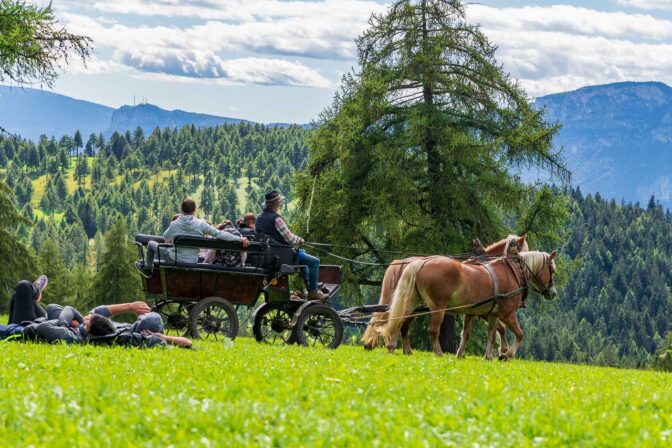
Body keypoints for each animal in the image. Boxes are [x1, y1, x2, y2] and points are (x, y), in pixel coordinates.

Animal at [360, 234, 528, 354]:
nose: (523, 274)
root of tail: (404, 263)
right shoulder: (484, 309)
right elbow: (500, 327)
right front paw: (503, 350)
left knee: (398, 323)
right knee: (396, 322)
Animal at [378, 252, 556, 360]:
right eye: (553, 270)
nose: (553, 293)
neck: (512, 273)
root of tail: (422, 262)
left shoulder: (488, 314)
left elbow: (486, 334)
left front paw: (487, 356)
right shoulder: (507, 314)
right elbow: (519, 334)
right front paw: (505, 355)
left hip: (412, 303)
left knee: (398, 320)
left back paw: (392, 347)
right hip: (438, 307)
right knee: (433, 330)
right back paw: (439, 353)